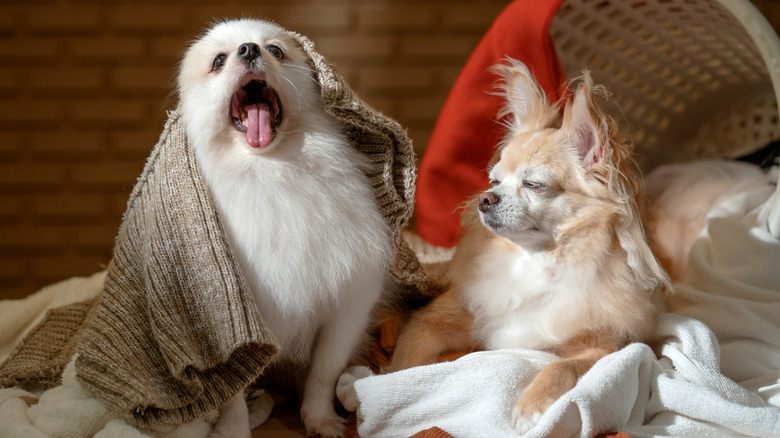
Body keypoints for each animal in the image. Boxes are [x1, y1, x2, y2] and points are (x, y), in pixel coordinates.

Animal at [177, 18, 390, 436]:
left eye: (275, 50)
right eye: (218, 61)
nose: (248, 49)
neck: (270, 171)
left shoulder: (348, 304)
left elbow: (323, 372)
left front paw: (319, 419)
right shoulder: (229, 333)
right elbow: (231, 396)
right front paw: (233, 431)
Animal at [390, 60, 672, 432]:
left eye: (534, 184)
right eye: (494, 181)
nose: (485, 199)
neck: (537, 263)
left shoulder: (611, 347)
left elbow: (562, 365)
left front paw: (532, 406)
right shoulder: (435, 318)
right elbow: (405, 358)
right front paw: (378, 388)